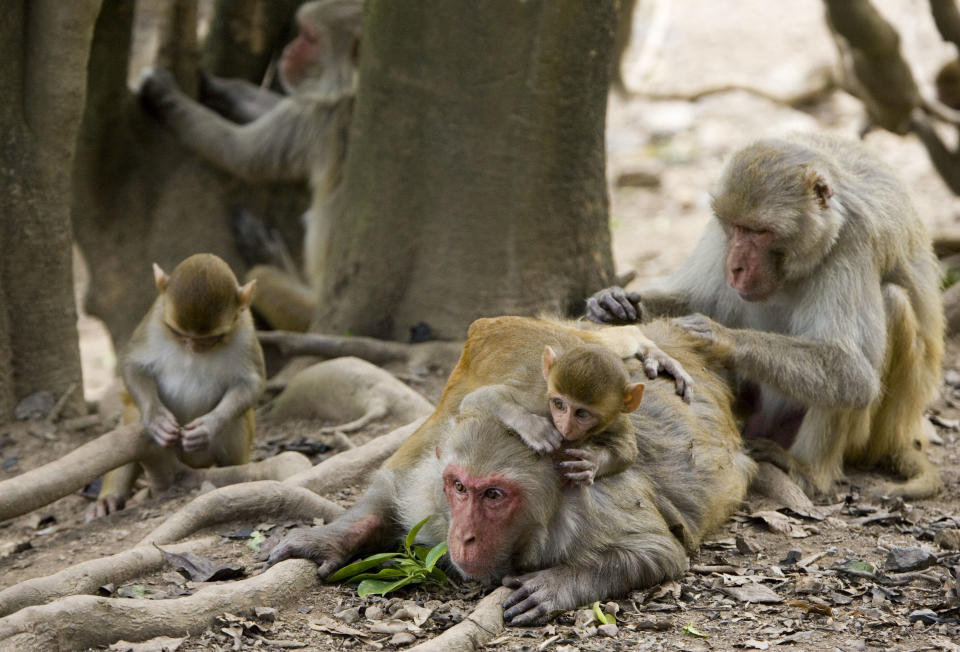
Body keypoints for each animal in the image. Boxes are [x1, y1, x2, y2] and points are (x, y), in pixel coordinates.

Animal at [87, 253, 266, 520]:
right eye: (176, 332)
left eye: (211, 339)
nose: (193, 348)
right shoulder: (155, 317)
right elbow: (133, 365)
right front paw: (156, 420)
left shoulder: (245, 328)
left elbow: (252, 383)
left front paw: (207, 427)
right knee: (131, 417)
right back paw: (109, 498)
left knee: (237, 419)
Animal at [266, 318, 752, 628]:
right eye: (459, 487)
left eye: (494, 496)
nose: (463, 537)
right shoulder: (431, 487)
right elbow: (393, 488)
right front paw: (327, 538)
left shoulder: (593, 504)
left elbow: (657, 551)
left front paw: (556, 585)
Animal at [584, 132, 944, 500]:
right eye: (735, 228)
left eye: (760, 232)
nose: (735, 267)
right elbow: (694, 297)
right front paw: (613, 304)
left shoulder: (855, 242)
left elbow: (854, 373)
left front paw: (717, 337)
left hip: (876, 434)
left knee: (889, 305)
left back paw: (807, 471)